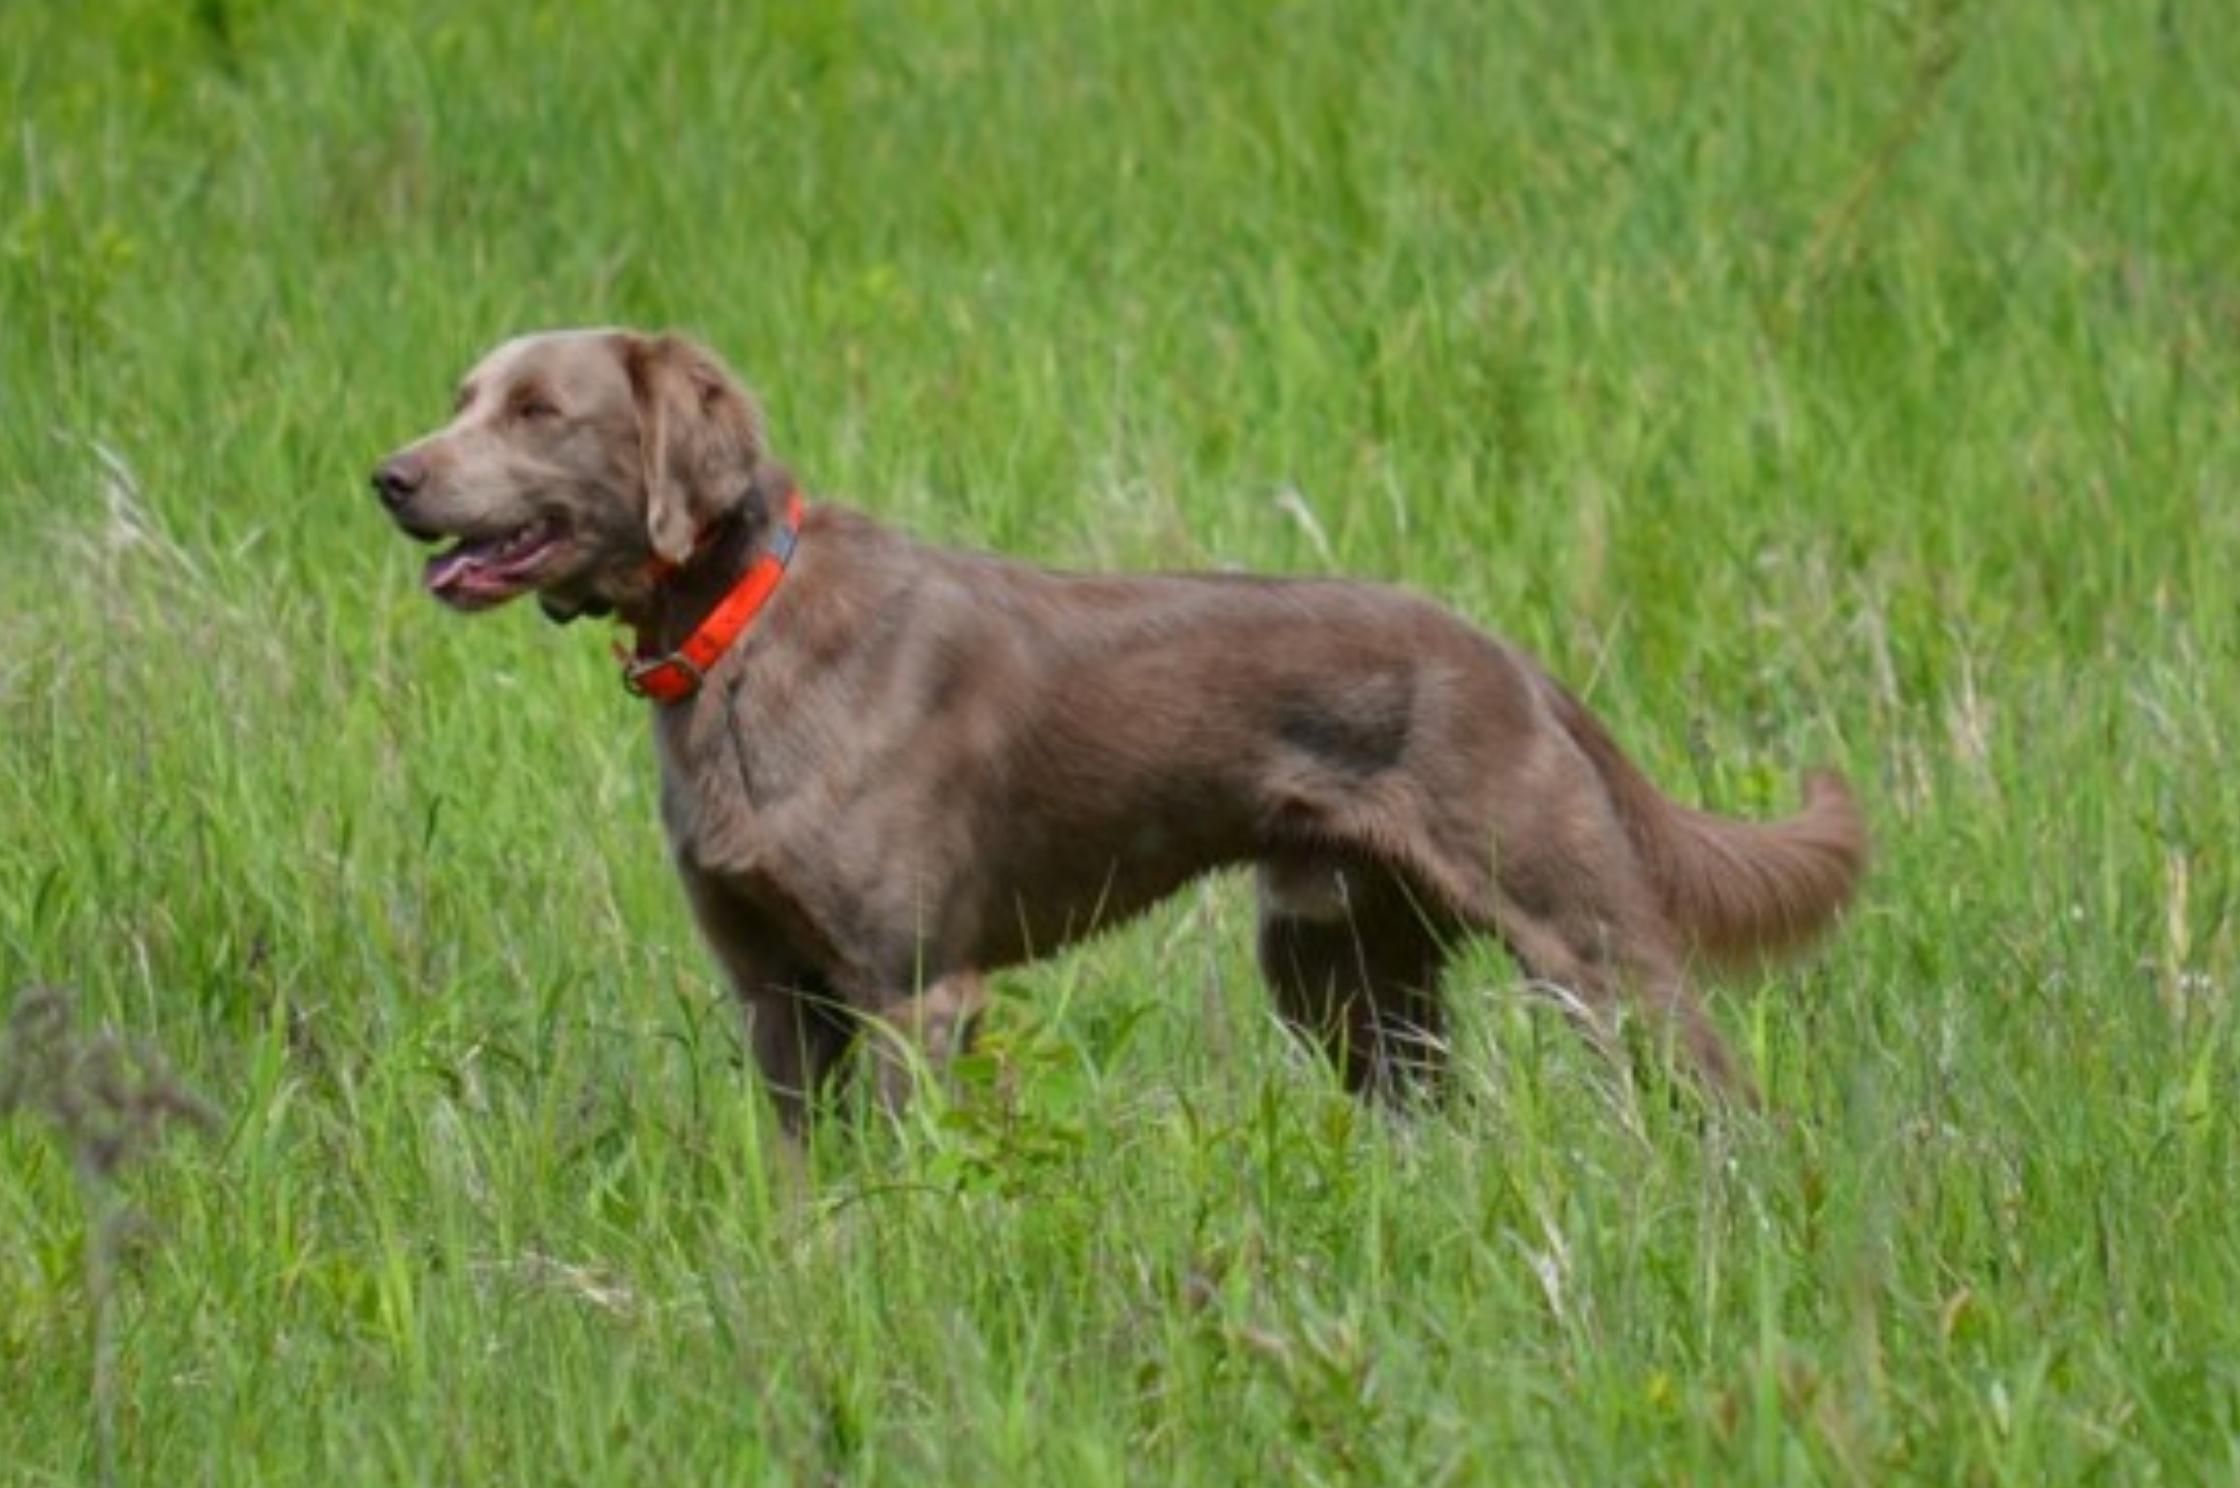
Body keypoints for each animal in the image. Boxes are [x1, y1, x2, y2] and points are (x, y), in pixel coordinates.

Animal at [376, 329, 1863, 1129]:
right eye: (459, 398)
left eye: (537, 410)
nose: (387, 475)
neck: (743, 632)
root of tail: (1507, 654)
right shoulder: (779, 993)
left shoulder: (914, 988)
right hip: (1342, 974)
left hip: (1578, 935)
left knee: (1716, 1090)